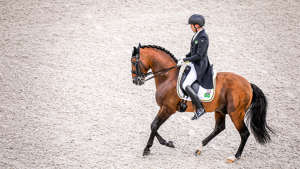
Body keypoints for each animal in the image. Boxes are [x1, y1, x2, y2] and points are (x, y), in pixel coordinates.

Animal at [130, 44, 274, 163]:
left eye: (133, 62)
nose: (136, 81)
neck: (168, 76)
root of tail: (249, 84)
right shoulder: (165, 109)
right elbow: (153, 126)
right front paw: (167, 143)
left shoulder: (167, 109)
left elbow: (154, 125)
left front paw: (148, 148)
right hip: (220, 110)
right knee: (219, 128)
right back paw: (199, 148)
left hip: (236, 114)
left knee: (244, 133)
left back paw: (234, 157)